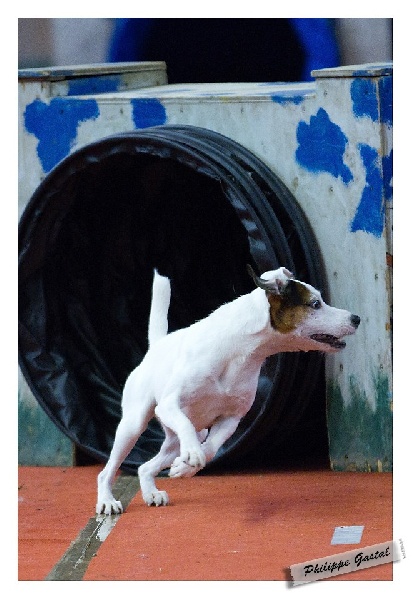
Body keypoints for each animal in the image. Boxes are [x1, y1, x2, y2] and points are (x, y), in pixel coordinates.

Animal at [96, 265, 360, 513]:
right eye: (315, 304)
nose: (356, 318)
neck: (241, 351)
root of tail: (157, 346)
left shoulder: (231, 420)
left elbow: (211, 449)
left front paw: (186, 466)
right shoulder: (170, 405)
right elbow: (187, 429)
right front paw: (191, 456)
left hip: (180, 438)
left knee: (145, 466)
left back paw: (153, 491)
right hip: (133, 426)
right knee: (107, 471)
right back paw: (107, 501)